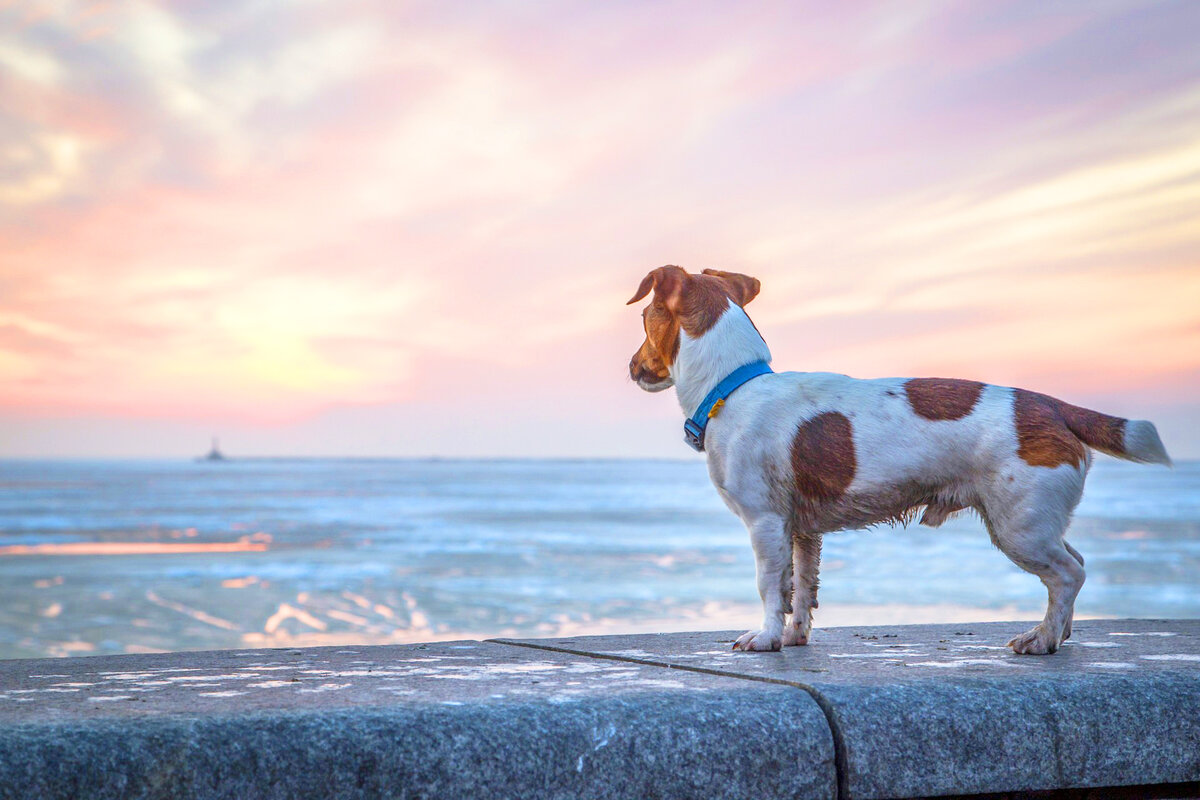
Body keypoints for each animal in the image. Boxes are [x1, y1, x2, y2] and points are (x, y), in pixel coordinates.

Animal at [628, 266, 1171, 652]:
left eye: (643, 319)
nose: (631, 366)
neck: (733, 386)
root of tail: (1051, 406)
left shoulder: (764, 522)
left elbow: (768, 586)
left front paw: (764, 638)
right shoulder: (802, 531)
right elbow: (800, 588)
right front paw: (794, 637)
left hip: (1021, 528)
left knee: (1069, 574)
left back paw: (1042, 639)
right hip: (1033, 521)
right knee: (1075, 562)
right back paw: (1062, 633)